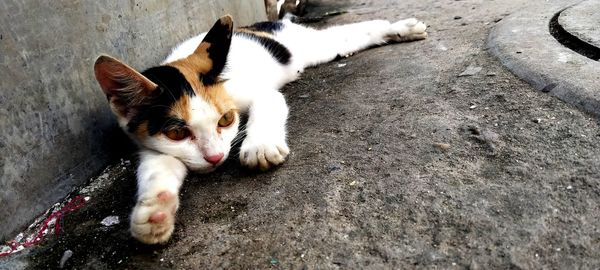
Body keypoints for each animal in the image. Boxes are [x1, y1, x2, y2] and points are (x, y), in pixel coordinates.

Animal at [94, 14, 426, 244]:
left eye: (226, 120)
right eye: (176, 134)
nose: (215, 158)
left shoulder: (259, 93)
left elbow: (266, 107)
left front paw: (260, 147)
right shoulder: (150, 144)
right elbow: (156, 168)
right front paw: (154, 212)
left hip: (308, 45)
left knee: (349, 33)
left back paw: (401, 28)